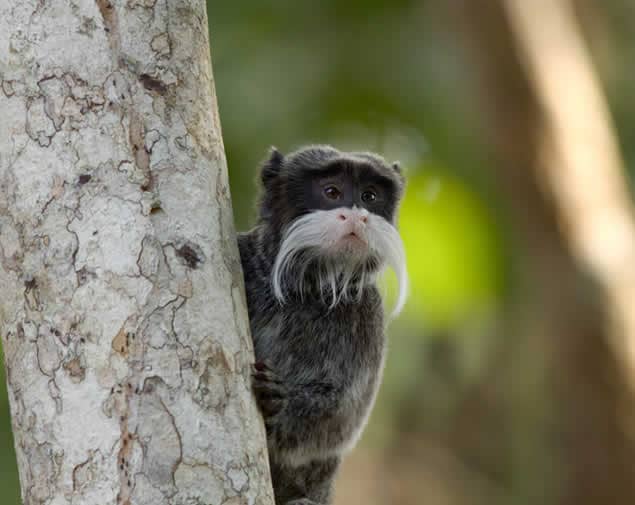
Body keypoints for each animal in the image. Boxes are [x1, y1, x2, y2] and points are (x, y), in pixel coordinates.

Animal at [237, 144, 408, 502]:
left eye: (369, 196)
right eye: (332, 192)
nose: (357, 215)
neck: (306, 288)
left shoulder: (368, 317)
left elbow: (341, 418)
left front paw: (281, 403)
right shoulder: (244, 256)